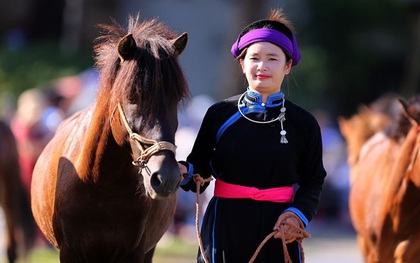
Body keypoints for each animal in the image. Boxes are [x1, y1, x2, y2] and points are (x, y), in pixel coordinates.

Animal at [32, 15, 189, 262]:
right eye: (132, 95)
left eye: (177, 98)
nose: (166, 177)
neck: (100, 184)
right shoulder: (69, 252)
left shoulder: (135, 252)